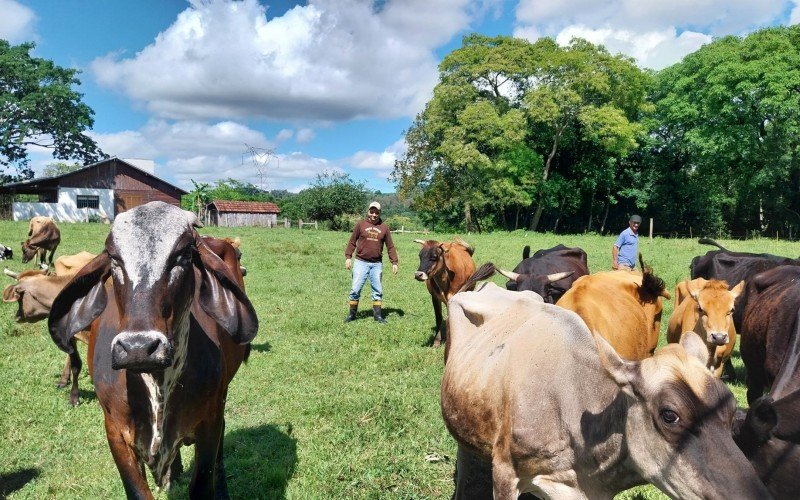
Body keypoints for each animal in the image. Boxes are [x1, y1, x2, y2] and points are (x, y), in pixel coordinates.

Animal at [47, 201, 258, 498]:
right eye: (114, 258)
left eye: (183, 254)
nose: (138, 348)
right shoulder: (115, 432)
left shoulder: (210, 422)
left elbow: (203, 482)